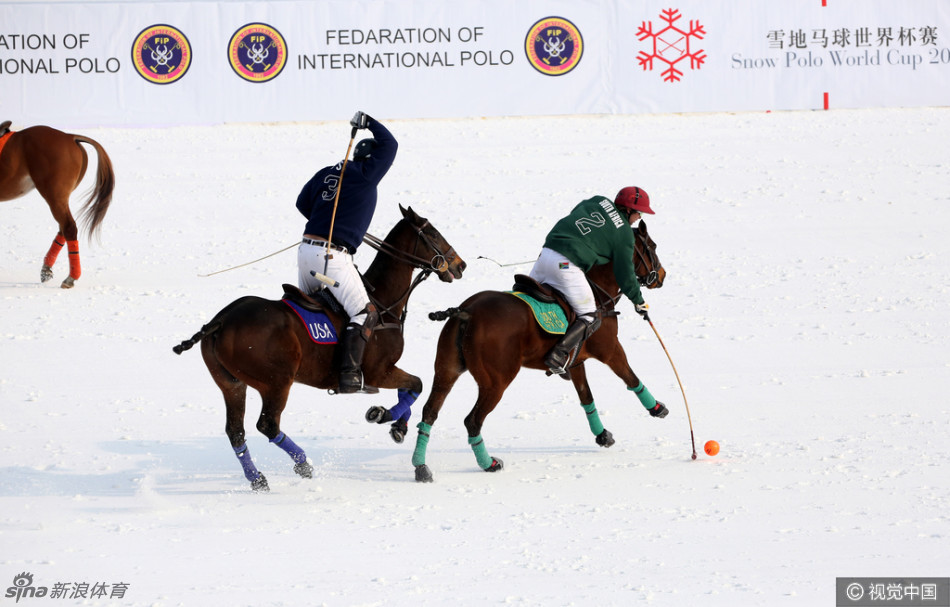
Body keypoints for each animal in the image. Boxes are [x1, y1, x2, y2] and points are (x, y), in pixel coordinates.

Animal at [0, 123, 116, 290]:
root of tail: (70, 137)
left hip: (54, 195)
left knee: (68, 226)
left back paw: (70, 277)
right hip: (60, 197)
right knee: (64, 227)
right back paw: (47, 269)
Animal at [174, 207, 468, 492]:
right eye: (433, 233)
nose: (460, 264)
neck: (383, 303)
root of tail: (220, 321)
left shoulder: (384, 372)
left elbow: (409, 388)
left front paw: (397, 425)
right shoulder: (378, 372)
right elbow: (416, 384)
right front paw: (386, 416)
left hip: (232, 384)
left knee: (236, 430)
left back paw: (257, 479)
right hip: (276, 382)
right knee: (267, 424)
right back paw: (303, 463)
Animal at [412, 221, 664, 482]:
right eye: (653, 247)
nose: (662, 276)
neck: (598, 295)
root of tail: (466, 312)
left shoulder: (576, 361)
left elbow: (586, 396)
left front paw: (602, 435)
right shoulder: (610, 349)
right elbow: (630, 377)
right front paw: (656, 408)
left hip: (447, 370)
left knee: (429, 412)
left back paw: (421, 467)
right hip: (496, 382)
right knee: (472, 421)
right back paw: (488, 463)